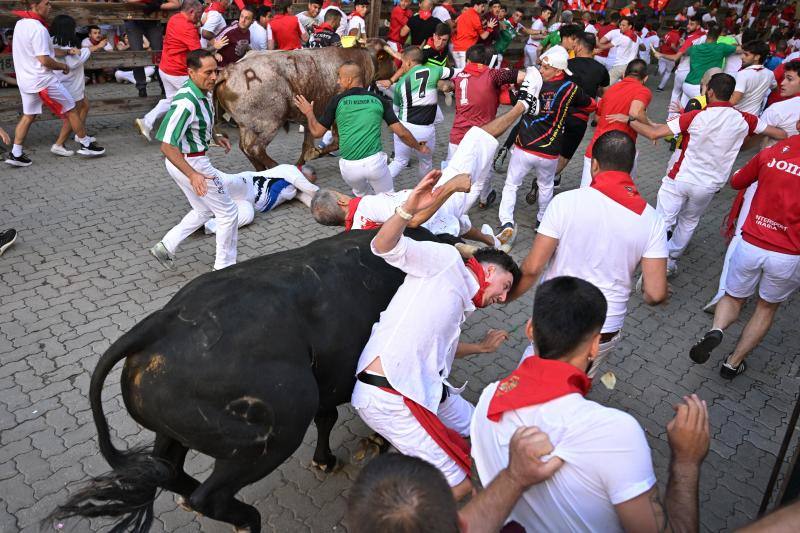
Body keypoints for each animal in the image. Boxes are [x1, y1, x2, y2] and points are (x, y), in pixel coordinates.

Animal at [54, 229, 446, 532]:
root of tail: (163, 320)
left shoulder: (329, 379)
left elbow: (328, 416)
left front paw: (325, 459)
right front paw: (375, 442)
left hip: (178, 429)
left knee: (169, 470)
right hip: (272, 435)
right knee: (211, 495)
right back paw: (244, 519)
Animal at [217, 41, 396, 170]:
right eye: (389, 58)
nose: (395, 69)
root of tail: (229, 71)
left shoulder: (311, 116)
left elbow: (307, 143)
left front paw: (303, 160)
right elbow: (335, 142)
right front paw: (313, 154)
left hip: (246, 126)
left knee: (244, 147)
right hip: (270, 122)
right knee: (255, 148)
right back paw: (277, 168)